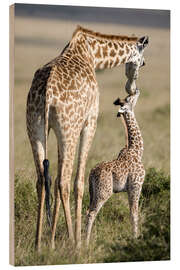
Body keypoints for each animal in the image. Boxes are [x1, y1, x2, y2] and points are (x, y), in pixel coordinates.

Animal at [85, 89, 146, 246]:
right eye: (129, 98)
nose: (137, 90)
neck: (137, 150)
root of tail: (91, 174)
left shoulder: (130, 188)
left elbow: (131, 212)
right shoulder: (136, 185)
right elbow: (134, 213)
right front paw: (135, 238)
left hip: (93, 192)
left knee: (87, 210)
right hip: (104, 192)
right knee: (91, 213)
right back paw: (84, 243)